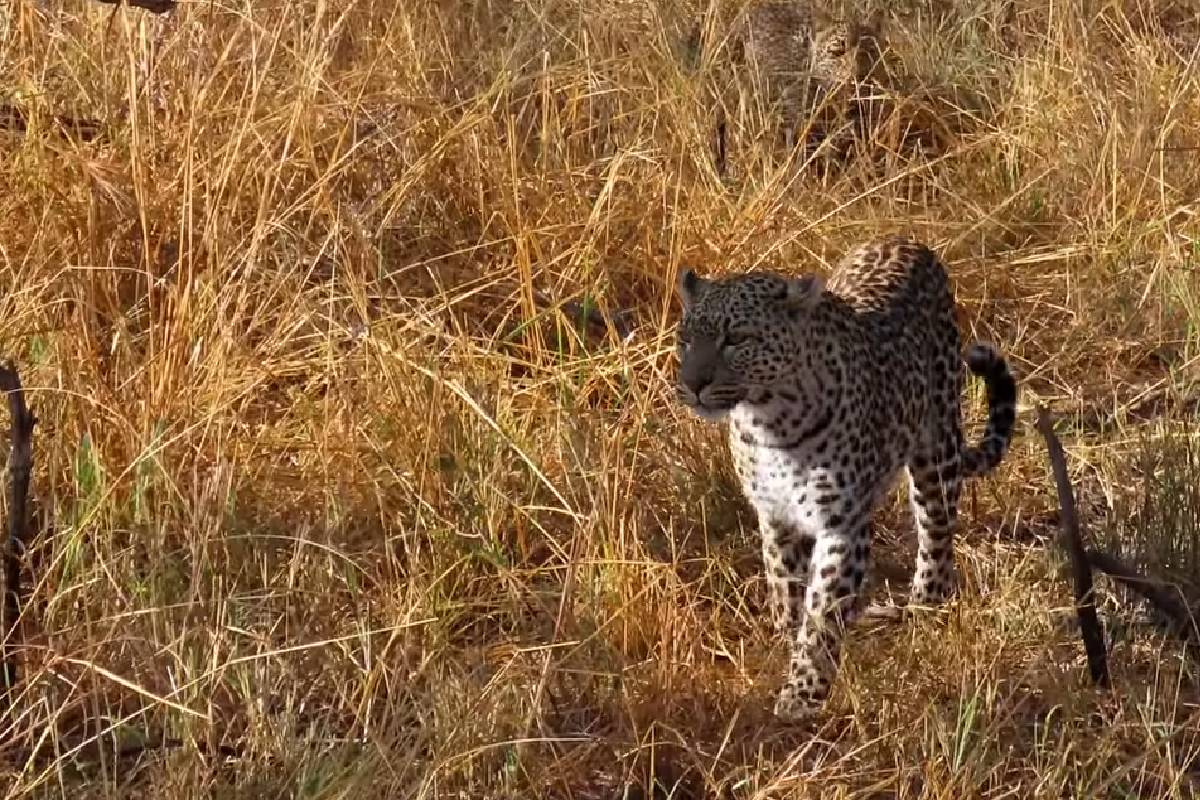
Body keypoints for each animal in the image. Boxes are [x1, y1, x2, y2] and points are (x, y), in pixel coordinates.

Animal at [673, 235, 1018, 720]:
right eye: (685, 340)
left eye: (736, 339)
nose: (692, 384)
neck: (769, 421)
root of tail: (904, 238)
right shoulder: (775, 517)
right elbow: (787, 589)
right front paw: (787, 641)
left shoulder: (841, 526)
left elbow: (820, 617)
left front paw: (802, 695)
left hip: (937, 452)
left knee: (936, 537)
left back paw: (925, 606)